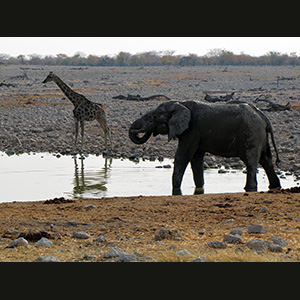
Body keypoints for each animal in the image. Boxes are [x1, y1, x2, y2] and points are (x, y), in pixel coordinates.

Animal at [129, 100, 282, 195]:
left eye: (154, 116)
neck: (180, 103)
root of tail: (263, 116)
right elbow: (196, 159)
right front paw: (199, 188)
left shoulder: (191, 130)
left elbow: (183, 156)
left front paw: (176, 190)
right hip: (260, 135)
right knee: (266, 160)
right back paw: (275, 186)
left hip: (251, 133)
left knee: (251, 161)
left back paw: (249, 188)